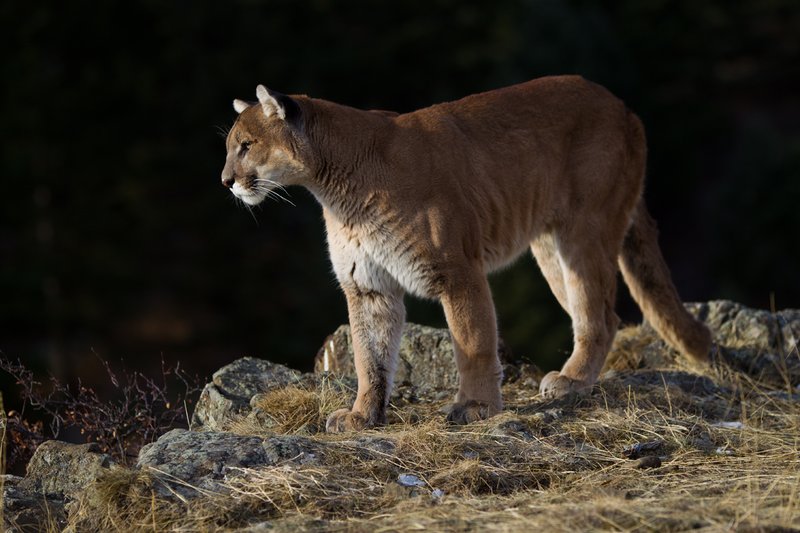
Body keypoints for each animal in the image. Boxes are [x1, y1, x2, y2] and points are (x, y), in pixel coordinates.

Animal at [221, 76, 712, 432]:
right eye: (232, 146)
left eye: (246, 145)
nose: (226, 181)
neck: (337, 189)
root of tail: (621, 105)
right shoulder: (367, 285)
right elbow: (369, 355)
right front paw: (363, 415)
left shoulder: (457, 270)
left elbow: (472, 340)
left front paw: (476, 406)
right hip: (550, 247)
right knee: (592, 313)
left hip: (584, 232)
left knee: (602, 315)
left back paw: (570, 382)